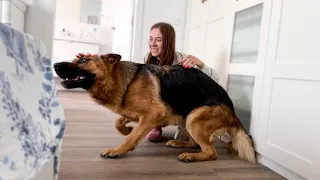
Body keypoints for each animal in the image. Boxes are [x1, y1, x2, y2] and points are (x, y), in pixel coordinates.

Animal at [53, 53, 256, 163]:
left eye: (82, 60)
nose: (54, 64)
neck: (123, 80)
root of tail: (234, 114)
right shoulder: (135, 113)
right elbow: (119, 122)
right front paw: (125, 129)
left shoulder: (152, 114)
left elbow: (132, 138)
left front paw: (117, 150)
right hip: (188, 118)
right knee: (196, 143)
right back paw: (179, 144)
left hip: (193, 117)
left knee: (211, 152)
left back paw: (190, 156)